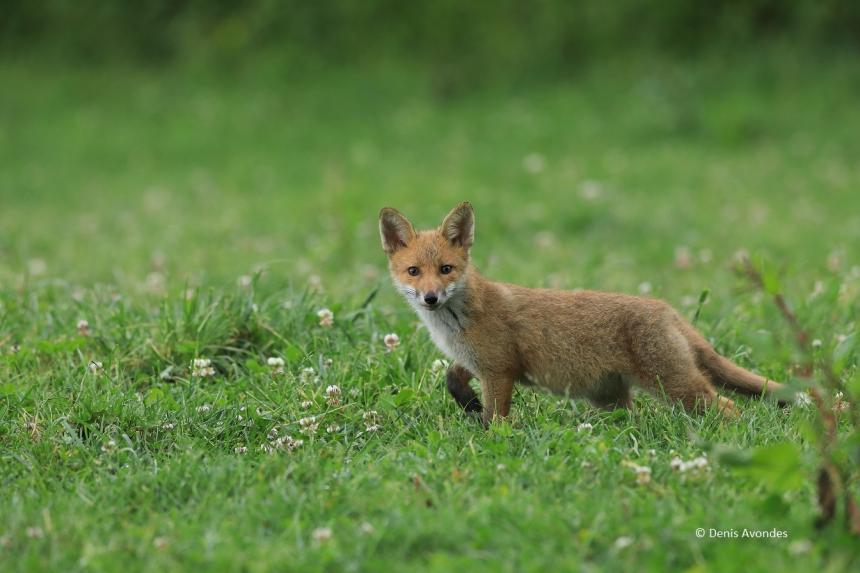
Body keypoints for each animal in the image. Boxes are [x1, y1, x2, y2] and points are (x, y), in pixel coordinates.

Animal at [380, 201, 784, 424]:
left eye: (445, 269)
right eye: (414, 271)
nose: (431, 298)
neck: (454, 324)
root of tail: (667, 309)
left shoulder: (500, 370)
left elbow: (496, 418)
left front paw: (488, 435)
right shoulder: (480, 361)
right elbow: (453, 376)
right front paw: (467, 401)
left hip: (675, 386)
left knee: (727, 406)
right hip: (609, 398)